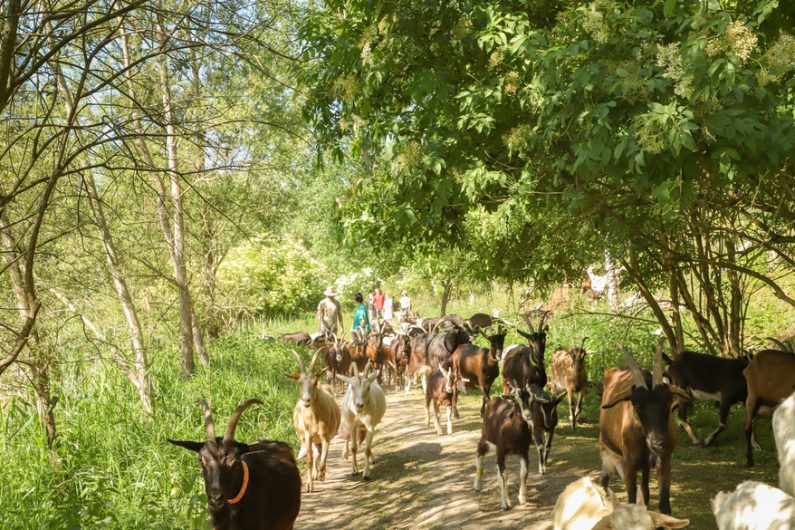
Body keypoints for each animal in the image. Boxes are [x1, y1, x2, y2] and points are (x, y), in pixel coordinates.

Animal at [286, 346, 338, 490]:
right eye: (299, 383)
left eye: (315, 382)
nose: (306, 400)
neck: (315, 417)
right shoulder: (308, 436)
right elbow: (309, 460)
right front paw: (309, 485)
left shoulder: (325, 436)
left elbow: (324, 457)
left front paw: (322, 474)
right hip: (311, 438)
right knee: (315, 454)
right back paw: (314, 474)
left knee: (318, 453)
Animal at [476, 380, 556, 508]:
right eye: (516, 400)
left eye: (532, 400)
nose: (527, 414)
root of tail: (493, 400)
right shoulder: (501, 451)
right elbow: (504, 475)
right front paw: (505, 504)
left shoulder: (523, 451)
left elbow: (523, 472)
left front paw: (522, 497)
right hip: (485, 437)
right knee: (480, 453)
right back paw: (477, 485)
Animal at [596, 340, 692, 512]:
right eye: (636, 404)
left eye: (668, 401)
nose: (658, 443)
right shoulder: (629, 464)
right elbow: (631, 499)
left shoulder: (665, 460)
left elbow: (663, 505)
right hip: (607, 448)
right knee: (605, 477)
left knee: (645, 489)